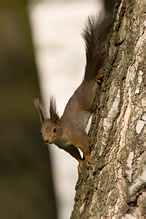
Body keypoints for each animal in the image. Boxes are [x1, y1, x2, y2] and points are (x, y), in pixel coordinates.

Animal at [34, 12, 113, 172]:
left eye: (54, 130)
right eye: (41, 132)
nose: (47, 140)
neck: (62, 134)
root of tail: (85, 81)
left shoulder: (76, 135)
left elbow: (85, 144)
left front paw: (87, 158)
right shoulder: (67, 147)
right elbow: (75, 153)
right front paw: (79, 162)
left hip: (87, 97)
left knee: (92, 87)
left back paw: (96, 78)